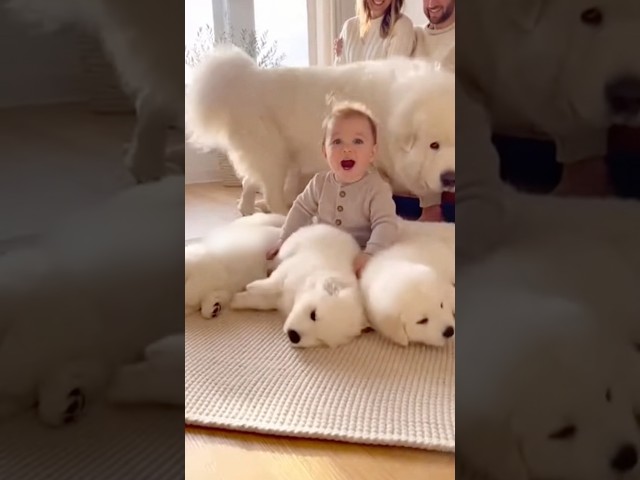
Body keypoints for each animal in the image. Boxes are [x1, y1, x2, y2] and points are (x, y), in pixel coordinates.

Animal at [186, 45, 455, 216]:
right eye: (434, 145)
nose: (449, 178)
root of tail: (245, 81)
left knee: (250, 181)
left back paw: (248, 209)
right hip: (274, 155)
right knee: (270, 192)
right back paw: (281, 213)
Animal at [230, 224, 368, 348]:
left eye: (321, 340)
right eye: (313, 315)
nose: (294, 336)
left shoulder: (276, 299)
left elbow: (259, 301)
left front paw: (235, 300)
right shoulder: (288, 269)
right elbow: (272, 282)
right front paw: (251, 286)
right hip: (287, 249)